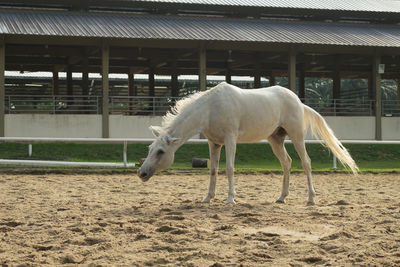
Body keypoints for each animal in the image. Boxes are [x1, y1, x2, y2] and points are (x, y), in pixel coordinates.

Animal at [138, 82, 360, 206]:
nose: (141, 173)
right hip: (275, 139)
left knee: (306, 163)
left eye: (160, 151)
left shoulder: (230, 138)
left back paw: (311, 199)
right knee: (287, 163)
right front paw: (208, 198)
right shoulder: (214, 143)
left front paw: (230, 199)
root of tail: (298, 101)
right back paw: (281, 197)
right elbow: (213, 170)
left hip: (296, 136)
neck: (210, 108)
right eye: (149, 149)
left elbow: (229, 168)